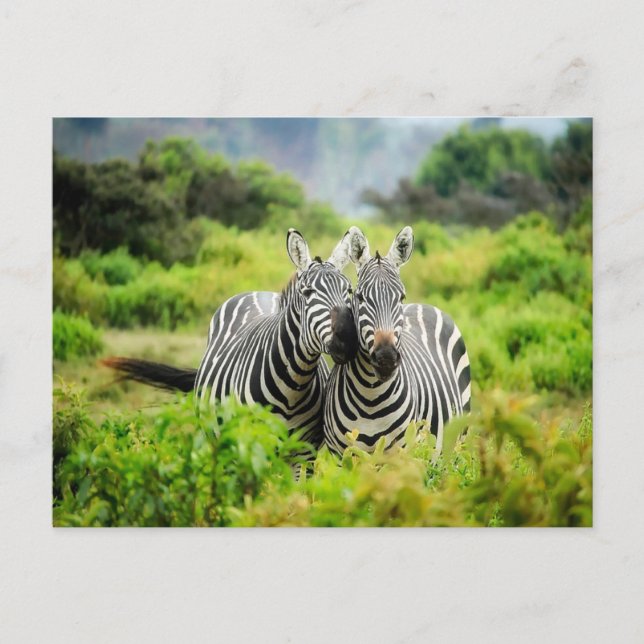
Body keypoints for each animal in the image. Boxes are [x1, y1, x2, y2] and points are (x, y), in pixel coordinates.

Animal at [104, 229, 357, 447]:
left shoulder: (304, 453)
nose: (347, 339)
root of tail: (257, 292)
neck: (293, 386)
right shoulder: (249, 444)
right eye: (307, 293)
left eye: (349, 290)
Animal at [323, 226, 471, 455]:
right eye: (360, 297)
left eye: (401, 297)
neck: (370, 398)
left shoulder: (401, 454)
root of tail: (424, 305)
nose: (386, 358)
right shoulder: (340, 455)